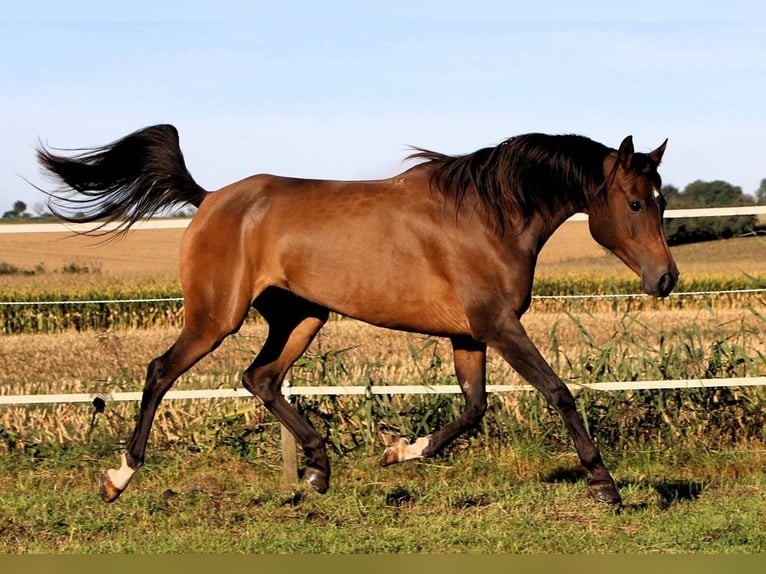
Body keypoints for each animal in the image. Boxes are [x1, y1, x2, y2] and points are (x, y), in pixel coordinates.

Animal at [39, 124, 680, 506]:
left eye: (663, 200)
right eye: (633, 203)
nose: (666, 279)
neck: (487, 216)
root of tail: (210, 198)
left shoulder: (470, 334)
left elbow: (473, 409)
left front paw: (399, 451)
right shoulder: (499, 326)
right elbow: (557, 391)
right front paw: (605, 485)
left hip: (301, 318)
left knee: (260, 378)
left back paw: (319, 469)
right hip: (216, 316)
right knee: (161, 373)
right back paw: (118, 478)